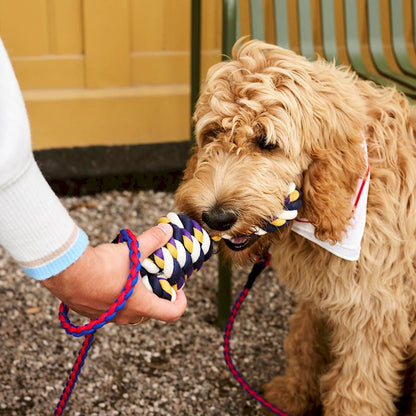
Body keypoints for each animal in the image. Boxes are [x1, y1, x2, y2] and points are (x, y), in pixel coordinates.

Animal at [175, 39, 416, 416]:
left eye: (266, 142)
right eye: (212, 133)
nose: (216, 217)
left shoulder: (372, 310)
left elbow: (356, 389)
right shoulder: (322, 292)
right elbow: (304, 340)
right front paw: (294, 393)